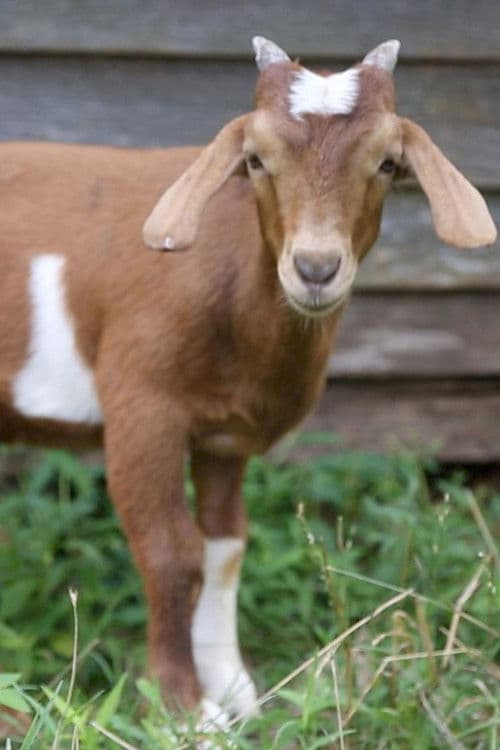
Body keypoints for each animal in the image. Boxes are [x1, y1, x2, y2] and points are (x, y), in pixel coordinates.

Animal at [0, 37, 496, 723]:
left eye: (387, 162)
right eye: (256, 160)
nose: (315, 268)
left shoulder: (224, 435)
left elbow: (224, 544)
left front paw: (233, 686)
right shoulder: (142, 408)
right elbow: (171, 552)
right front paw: (186, 709)